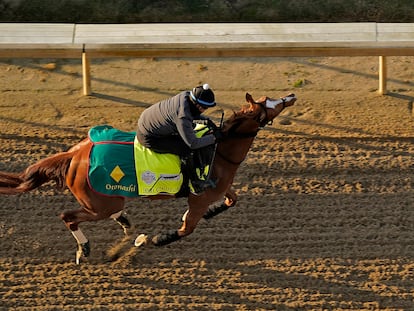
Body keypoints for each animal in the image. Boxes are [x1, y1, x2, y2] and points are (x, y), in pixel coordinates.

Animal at [0, 92, 298, 264]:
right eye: (271, 104)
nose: (292, 95)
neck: (219, 151)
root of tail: (74, 155)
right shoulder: (199, 199)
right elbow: (185, 229)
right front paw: (152, 240)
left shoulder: (219, 189)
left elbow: (231, 201)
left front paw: (212, 213)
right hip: (99, 203)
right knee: (68, 216)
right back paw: (84, 249)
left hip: (107, 200)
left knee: (111, 213)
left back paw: (124, 225)